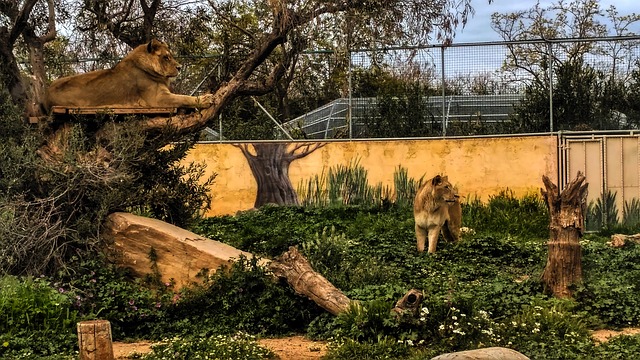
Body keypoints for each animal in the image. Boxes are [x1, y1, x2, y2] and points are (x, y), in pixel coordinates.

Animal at [46, 38, 215, 110]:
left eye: (171, 56)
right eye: (166, 57)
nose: (179, 67)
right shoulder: (158, 99)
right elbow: (183, 98)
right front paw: (205, 99)